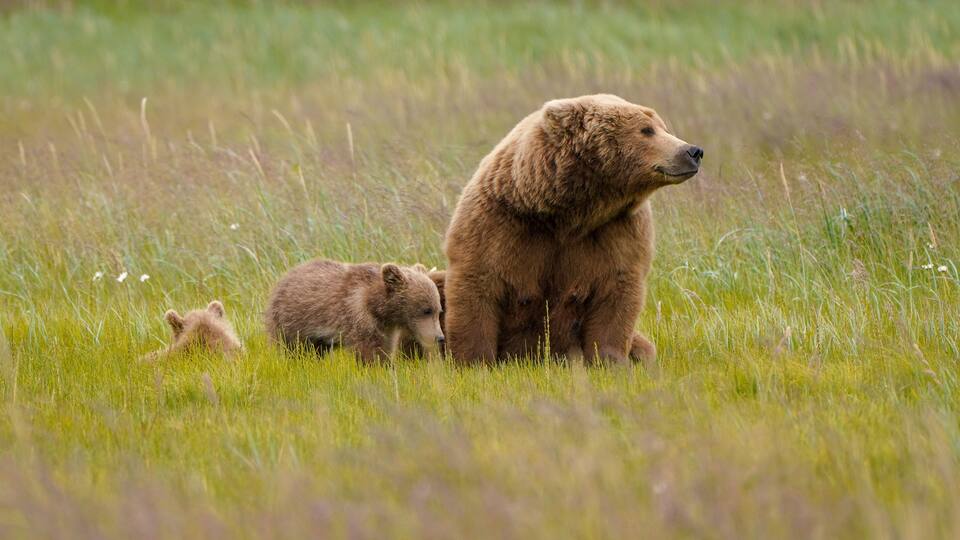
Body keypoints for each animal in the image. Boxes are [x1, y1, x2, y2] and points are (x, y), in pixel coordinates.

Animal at [265, 259, 444, 363]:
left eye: (438, 310)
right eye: (426, 310)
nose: (439, 337)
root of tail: (285, 277)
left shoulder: (387, 327)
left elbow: (386, 347)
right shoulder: (358, 315)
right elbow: (370, 349)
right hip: (292, 318)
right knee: (293, 347)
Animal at [443, 94, 702, 365]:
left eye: (663, 127)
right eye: (647, 130)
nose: (693, 151)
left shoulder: (618, 229)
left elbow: (617, 292)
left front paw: (610, 360)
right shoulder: (501, 221)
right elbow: (478, 282)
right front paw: (474, 359)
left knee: (644, 346)